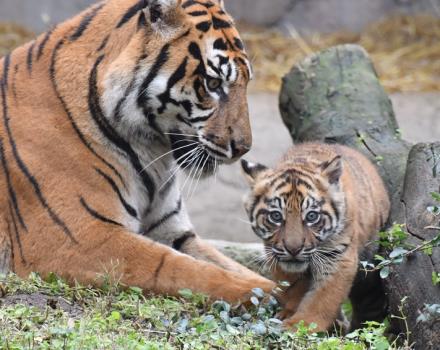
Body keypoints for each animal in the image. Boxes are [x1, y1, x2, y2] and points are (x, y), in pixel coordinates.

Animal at [0, 0, 276, 300]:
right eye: (213, 84)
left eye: (246, 82)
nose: (242, 148)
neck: (151, 152)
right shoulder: (78, 238)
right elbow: (179, 267)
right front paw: (265, 293)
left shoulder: (173, 231)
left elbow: (227, 263)